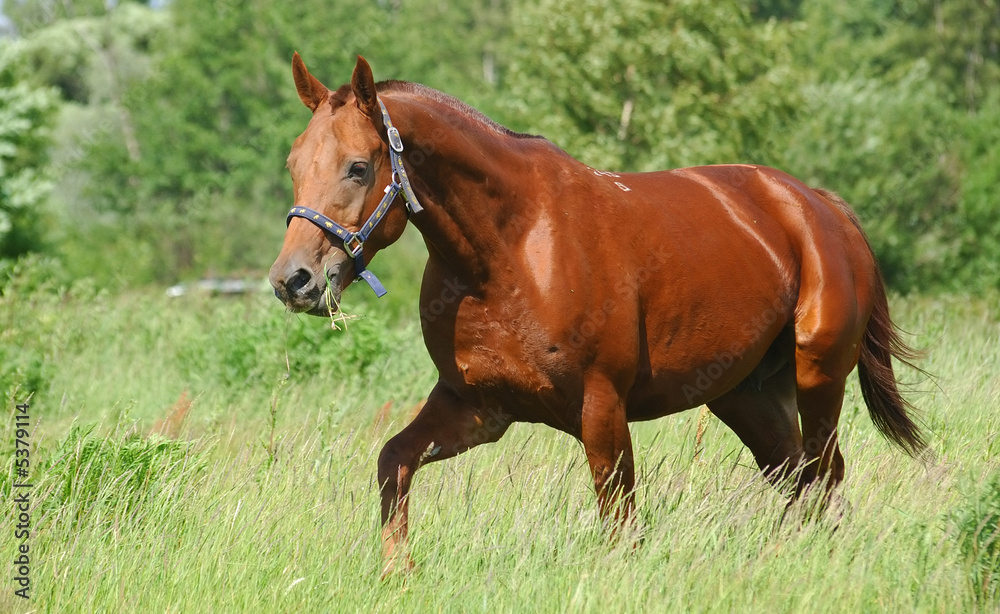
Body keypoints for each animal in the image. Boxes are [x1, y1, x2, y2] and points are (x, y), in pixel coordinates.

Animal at [270, 55, 924, 576]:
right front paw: (397, 574)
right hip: (748, 397)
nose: (292, 280)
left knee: (823, 477)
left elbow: (620, 521)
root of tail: (819, 206)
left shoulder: (602, 407)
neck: (511, 248)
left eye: (358, 166)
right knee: (803, 482)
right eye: (293, 163)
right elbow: (393, 463)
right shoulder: (476, 408)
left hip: (819, 378)